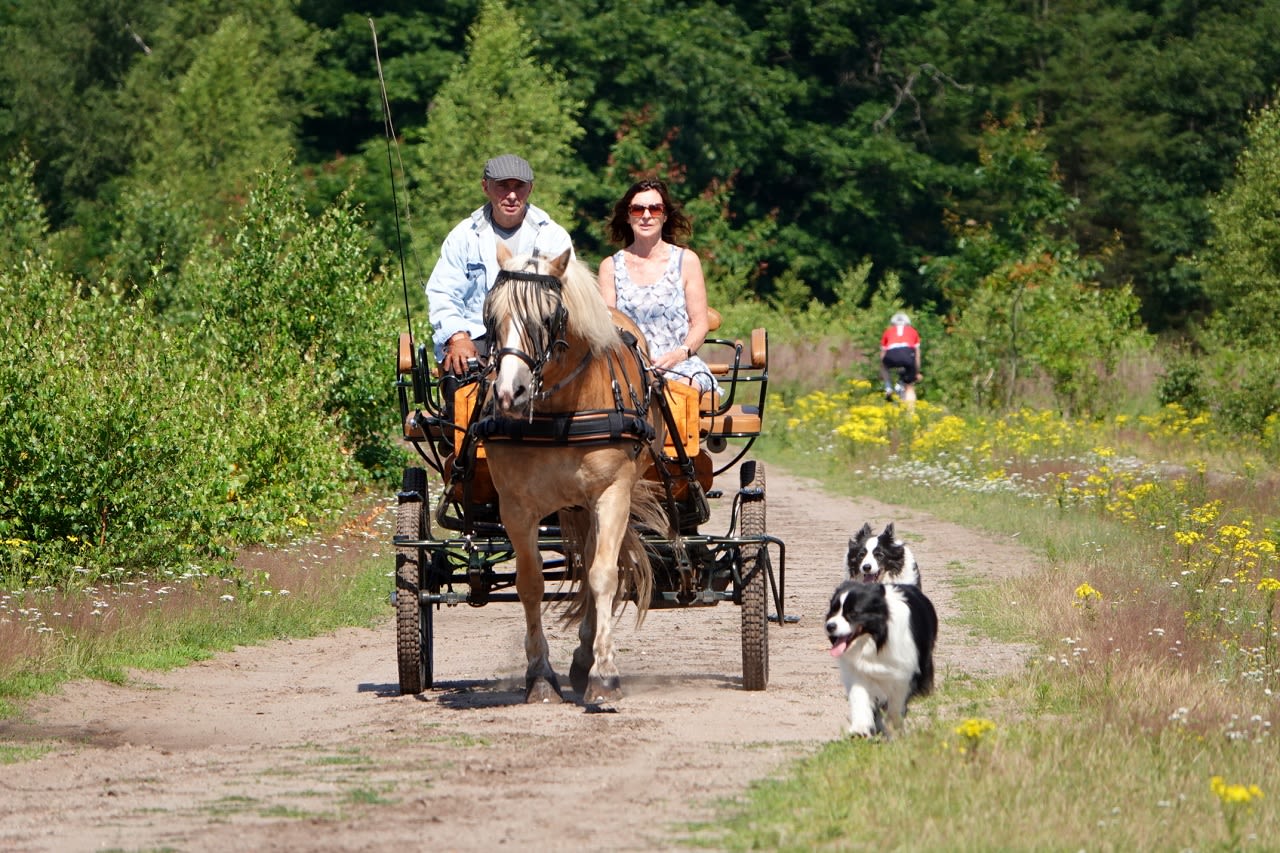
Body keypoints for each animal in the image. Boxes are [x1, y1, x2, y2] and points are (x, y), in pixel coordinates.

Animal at [476, 242, 665, 701]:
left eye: (547, 318)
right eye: (491, 315)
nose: (508, 393)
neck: (562, 412)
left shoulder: (612, 495)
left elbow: (603, 576)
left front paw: (604, 673)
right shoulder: (515, 507)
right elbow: (530, 584)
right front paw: (540, 673)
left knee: (598, 567)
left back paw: (586, 658)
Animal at [824, 578, 936, 737]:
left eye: (853, 613)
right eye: (833, 610)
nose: (829, 626)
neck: (876, 640)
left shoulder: (903, 673)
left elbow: (896, 704)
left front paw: (893, 728)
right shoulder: (857, 671)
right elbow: (859, 697)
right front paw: (860, 729)